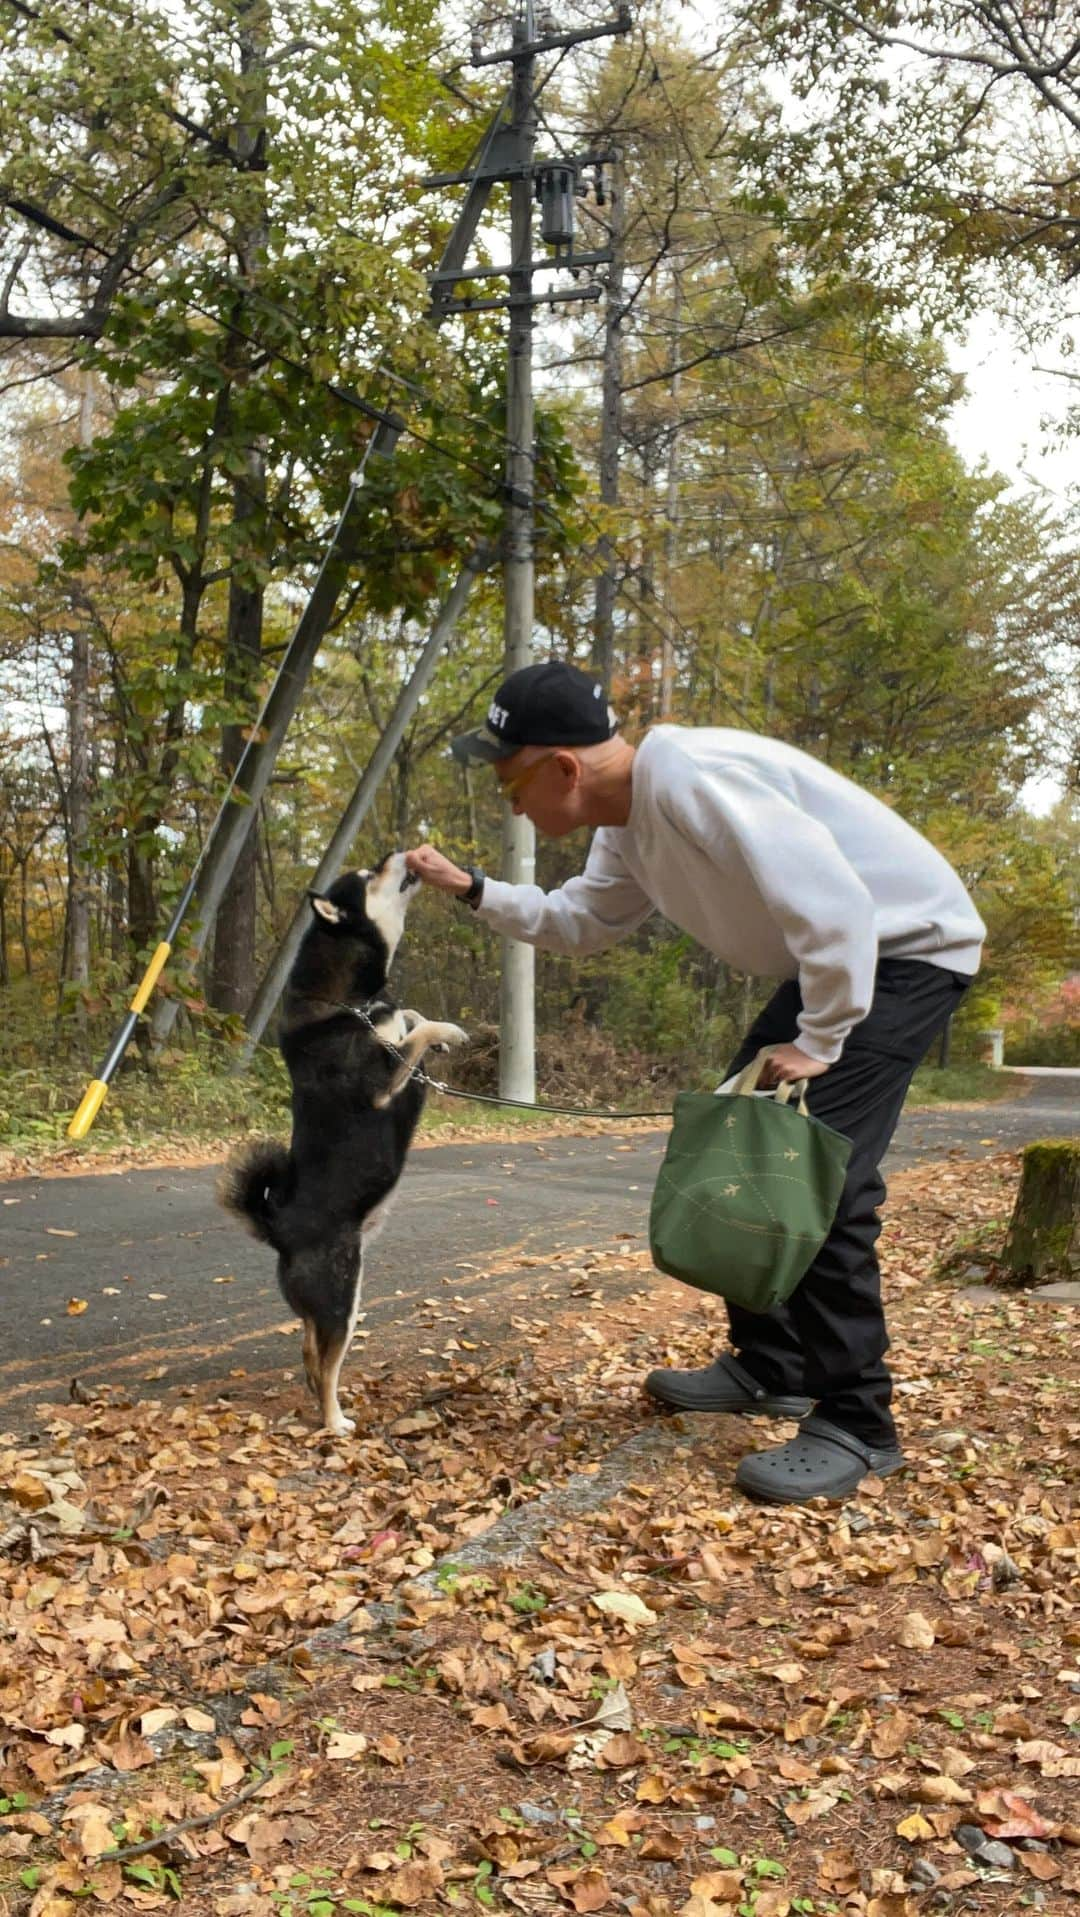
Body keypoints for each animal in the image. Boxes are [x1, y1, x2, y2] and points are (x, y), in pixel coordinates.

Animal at [220, 858, 469, 1441]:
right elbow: (417, 1031)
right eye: (370, 873)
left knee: (308, 1356)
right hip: (342, 1299)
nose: (402, 853)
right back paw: (334, 1421)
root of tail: (278, 1230)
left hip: (330, 1306)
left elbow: (412, 1017)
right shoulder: (380, 1078)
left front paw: (431, 1031)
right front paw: (448, 1031)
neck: (346, 1003)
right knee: (324, 1367)